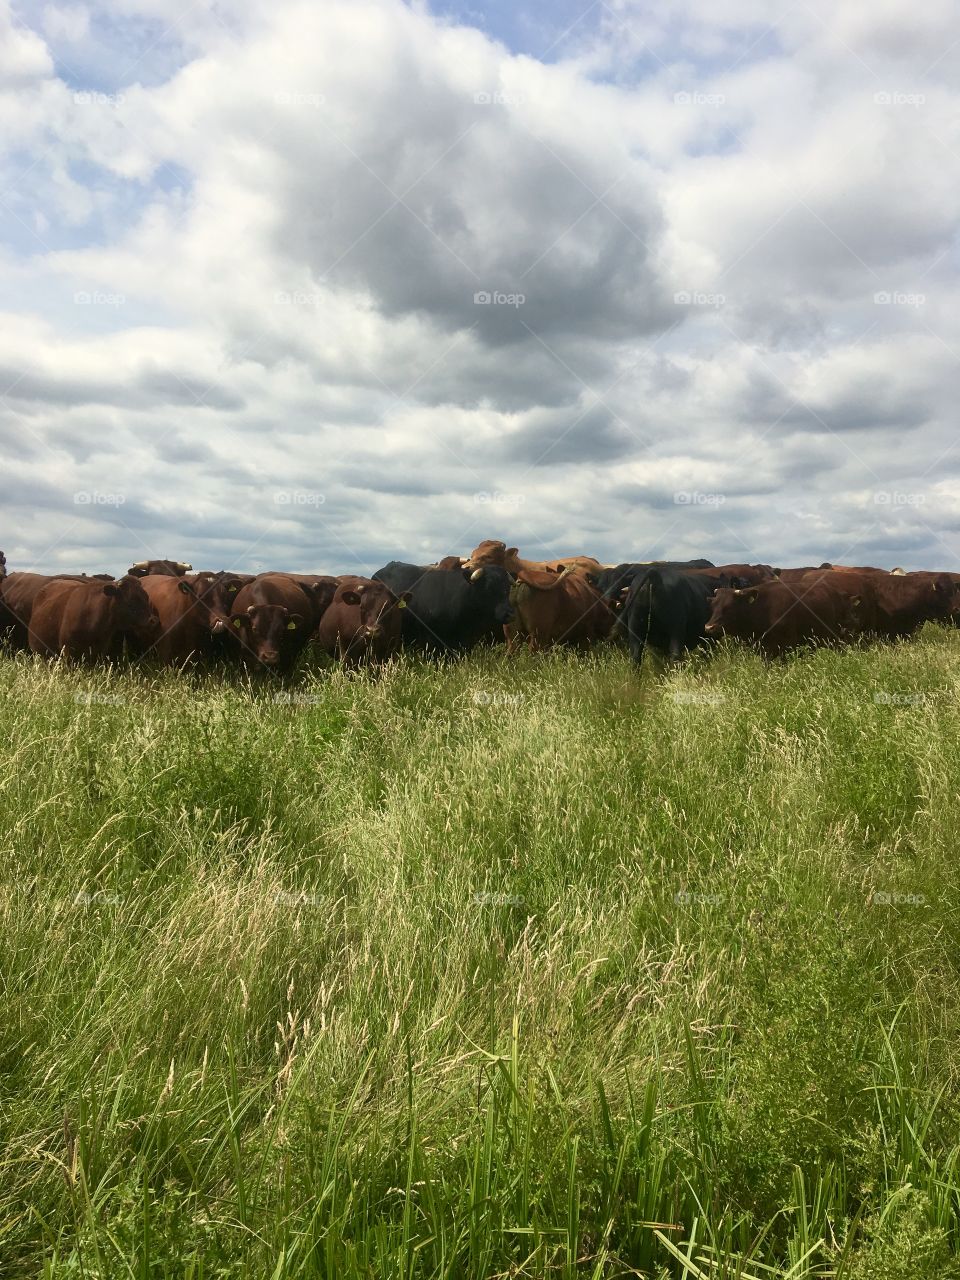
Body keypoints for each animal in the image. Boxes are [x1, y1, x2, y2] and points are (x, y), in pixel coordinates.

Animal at [704, 579, 864, 657]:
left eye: (729, 607)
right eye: (713, 606)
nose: (709, 627)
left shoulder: (786, 646)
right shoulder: (764, 650)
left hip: (838, 638)